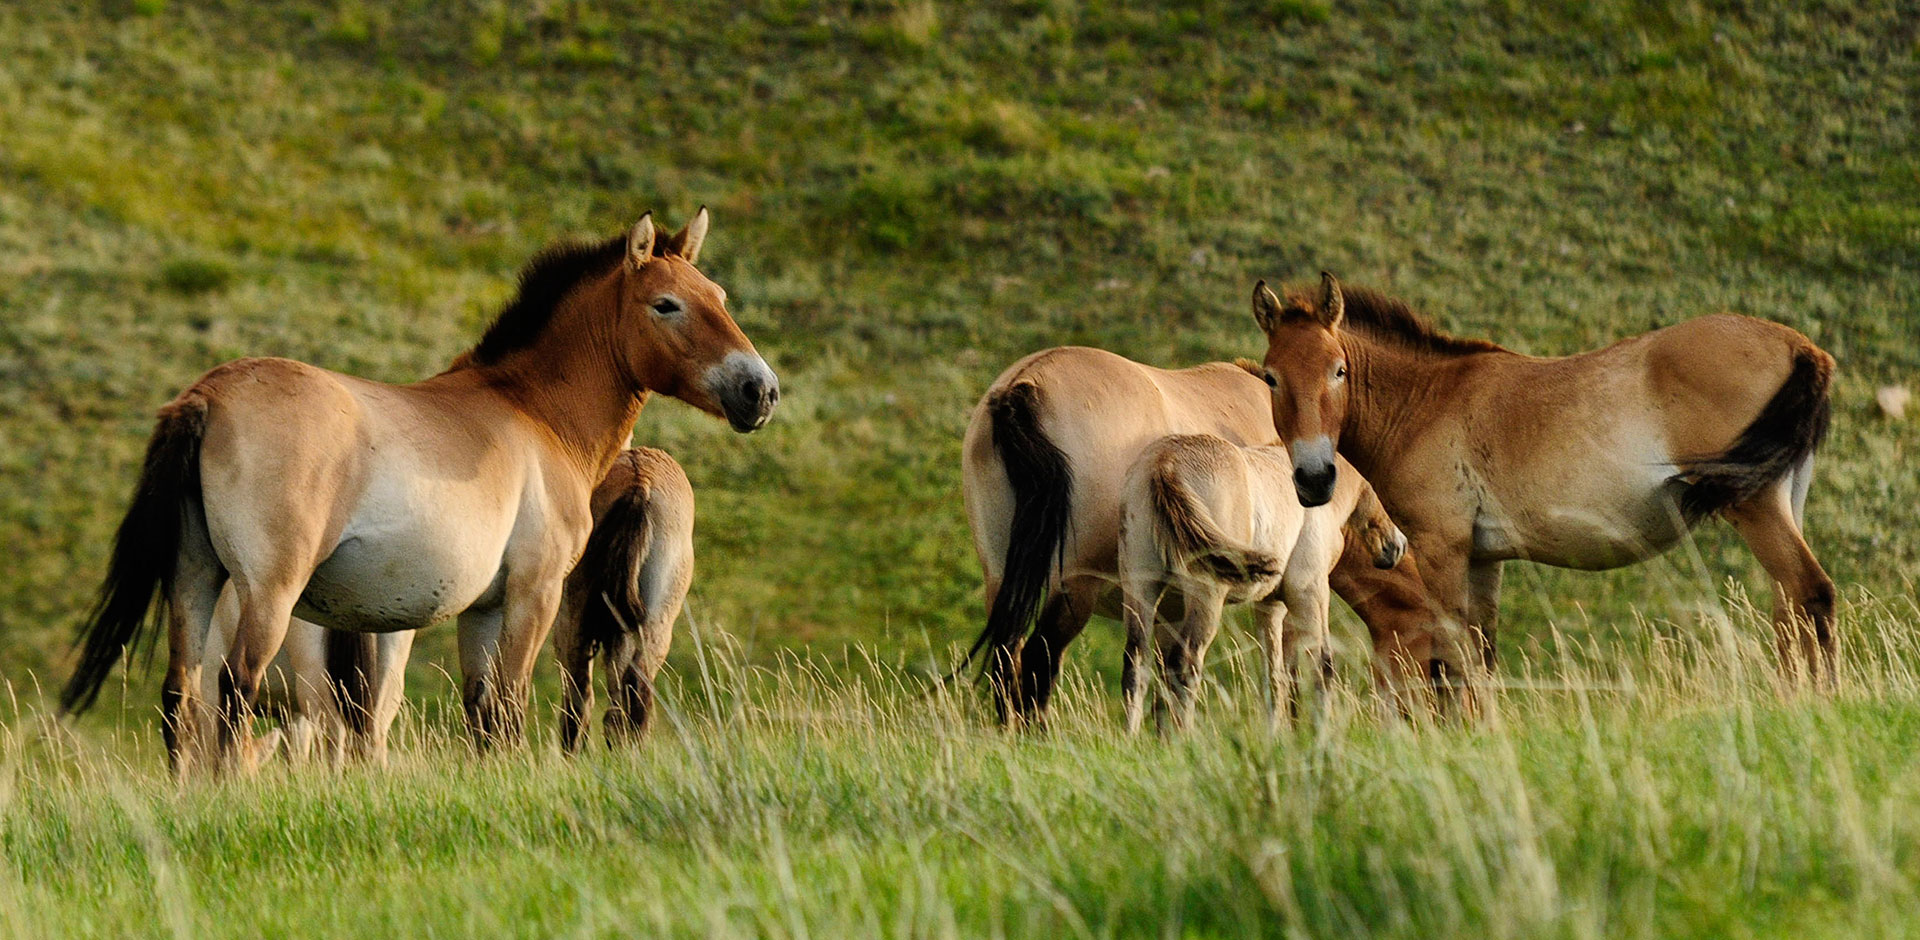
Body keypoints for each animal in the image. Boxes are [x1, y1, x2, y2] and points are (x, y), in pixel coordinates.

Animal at [1121, 433, 1405, 732]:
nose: (1396, 546)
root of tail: (1164, 463)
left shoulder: (1270, 605)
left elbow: (1274, 676)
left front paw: (1277, 735)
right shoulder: (1309, 591)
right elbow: (1322, 664)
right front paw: (1321, 734)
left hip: (1140, 585)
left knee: (1135, 664)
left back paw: (1132, 738)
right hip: (1207, 593)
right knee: (1185, 663)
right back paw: (1182, 738)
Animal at [1251, 272, 1835, 682]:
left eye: (1338, 370)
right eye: (1272, 377)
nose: (1315, 478)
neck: (1427, 402)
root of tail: (1800, 346)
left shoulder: (1443, 547)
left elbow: (1450, 658)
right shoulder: (1483, 558)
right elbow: (1480, 655)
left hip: (1756, 507)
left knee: (1812, 594)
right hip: (1783, 501)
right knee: (1790, 613)